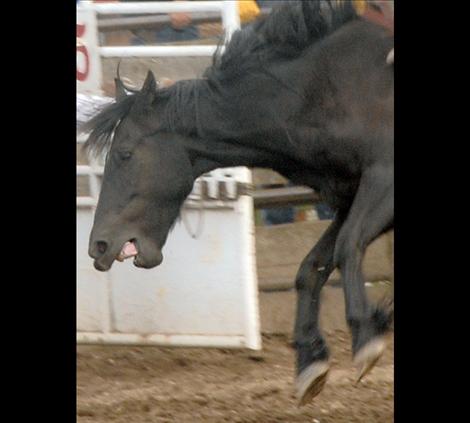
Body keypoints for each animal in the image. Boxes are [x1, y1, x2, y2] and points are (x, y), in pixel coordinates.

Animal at [81, 1, 392, 410]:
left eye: (125, 153)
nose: (99, 245)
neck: (320, 88)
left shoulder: (384, 181)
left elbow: (348, 245)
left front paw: (366, 332)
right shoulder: (351, 195)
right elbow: (312, 267)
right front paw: (310, 360)